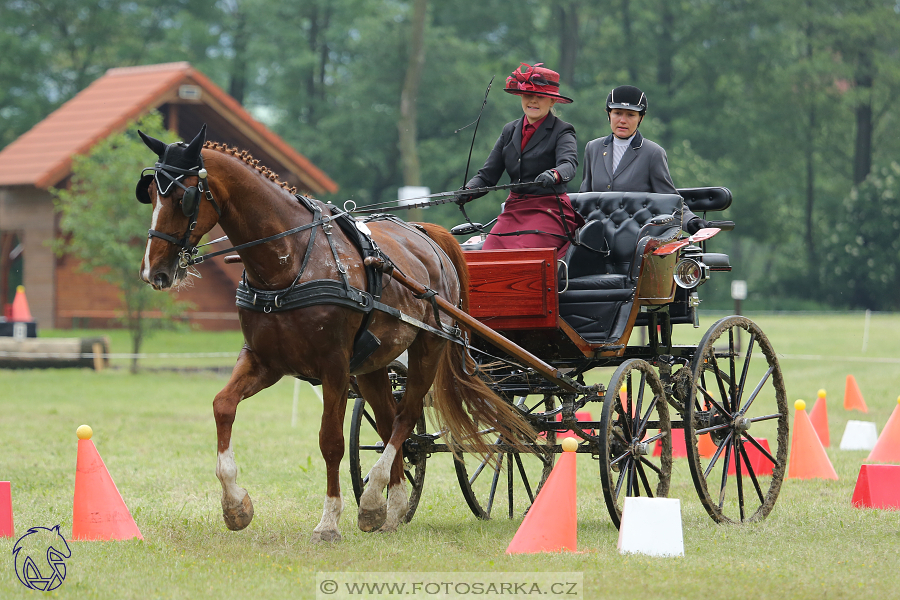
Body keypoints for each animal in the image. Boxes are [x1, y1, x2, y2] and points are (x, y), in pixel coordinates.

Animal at [136, 124, 532, 540]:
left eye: (183, 196)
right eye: (150, 193)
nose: (153, 271)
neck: (290, 259)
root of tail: (424, 234)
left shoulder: (335, 367)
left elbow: (331, 441)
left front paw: (328, 522)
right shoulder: (264, 360)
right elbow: (222, 405)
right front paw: (235, 505)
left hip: (428, 347)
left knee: (405, 418)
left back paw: (373, 498)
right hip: (374, 364)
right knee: (390, 423)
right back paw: (390, 507)